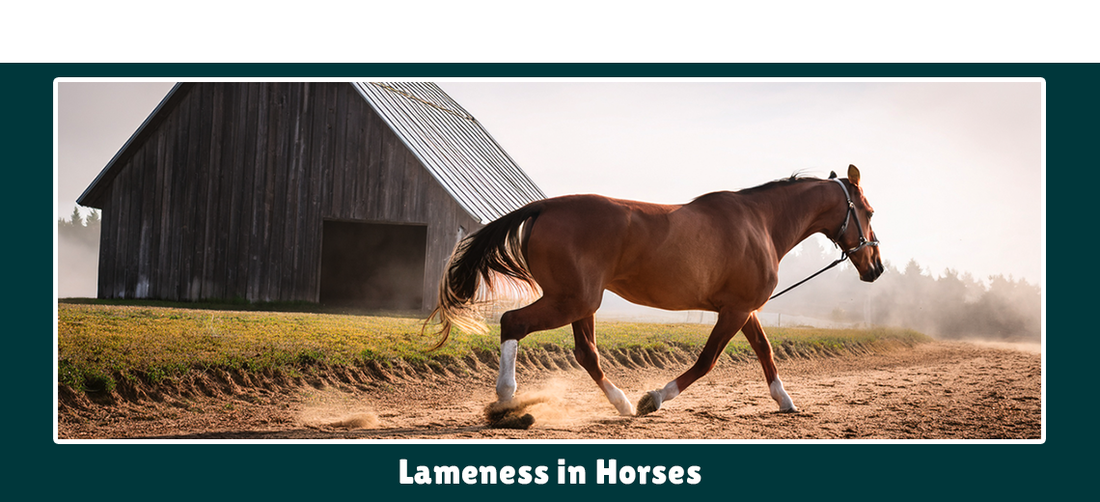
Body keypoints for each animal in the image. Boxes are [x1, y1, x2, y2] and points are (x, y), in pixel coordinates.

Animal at [427, 164, 883, 417]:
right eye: (869, 211)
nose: (876, 267)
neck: (761, 224)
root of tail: (546, 206)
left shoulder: (744, 309)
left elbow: (765, 351)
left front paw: (784, 400)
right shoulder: (735, 311)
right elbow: (706, 361)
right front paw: (655, 398)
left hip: (580, 303)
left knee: (586, 354)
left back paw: (620, 404)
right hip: (573, 300)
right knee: (513, 322)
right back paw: (508, 399)